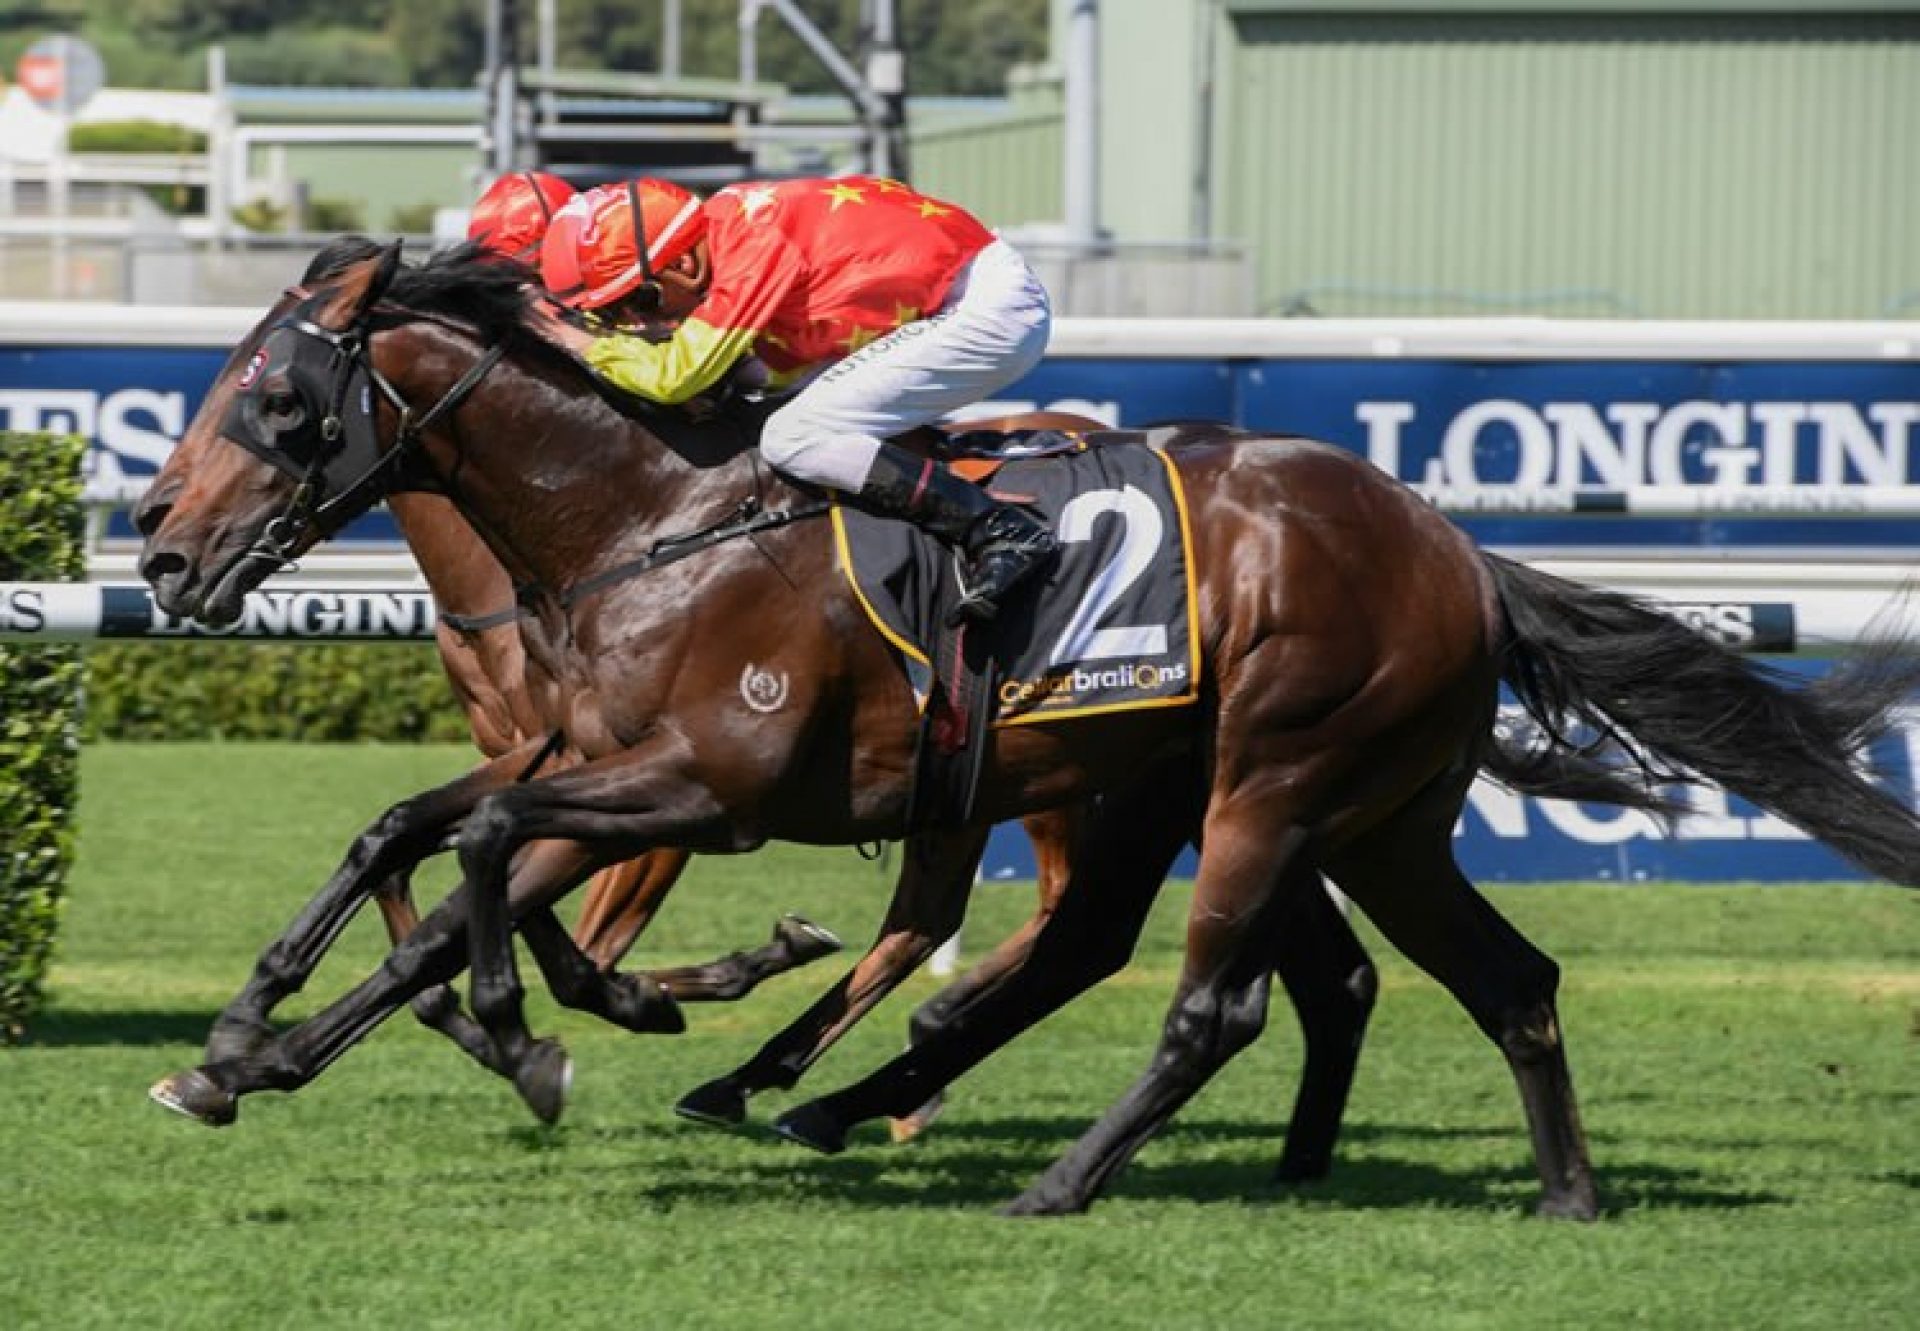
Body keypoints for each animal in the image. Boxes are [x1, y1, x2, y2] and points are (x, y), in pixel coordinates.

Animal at [135, 243, 1920, 1221]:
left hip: (1272, 777)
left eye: (276, 397)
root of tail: (1454, 548)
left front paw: (536, 1035)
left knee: (1207, 994)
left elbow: (488, 872)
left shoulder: (708, 783)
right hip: (1338, 809)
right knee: (1478, 976)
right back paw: (1555, 1190)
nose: (159, 547)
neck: (652, 521)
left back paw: (1044, 1169)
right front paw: (243, 1049)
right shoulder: (584, 758)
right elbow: (419, 845)